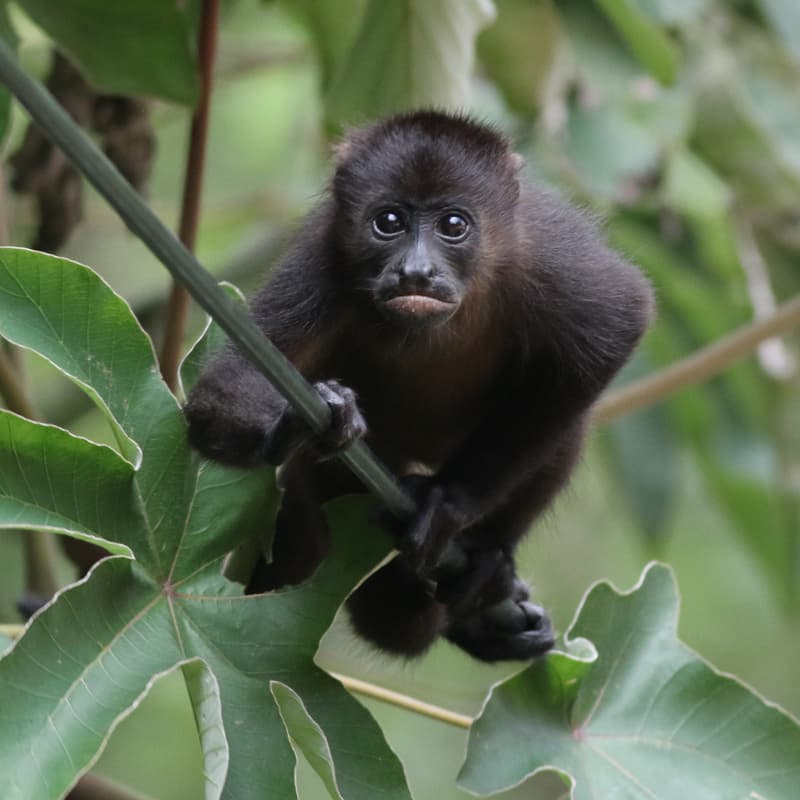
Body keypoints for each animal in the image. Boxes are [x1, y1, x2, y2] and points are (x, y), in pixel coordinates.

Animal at [184, 110, 653, 663]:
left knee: (566, 419)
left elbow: (621, 318)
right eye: (389, 222)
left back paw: (487, 568)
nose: (416, 270)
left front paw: (448, 500)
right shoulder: (321, 258)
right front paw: (298, 422)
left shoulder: (548, 256)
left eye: (453, 225)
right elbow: (221, 394)